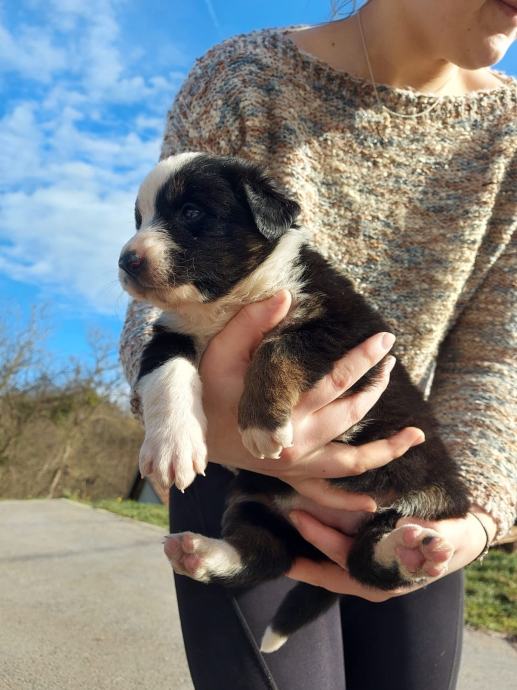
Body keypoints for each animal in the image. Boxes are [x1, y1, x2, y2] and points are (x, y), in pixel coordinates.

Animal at [119, 152, 470, 652]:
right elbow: (167, 377)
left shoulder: (345, 328)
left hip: (424, 495)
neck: (226, 302)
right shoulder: (168, 337)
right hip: (256, 500)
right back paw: (198, 554)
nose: (127, 260)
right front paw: (172, 449)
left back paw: (410, 554)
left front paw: (261, 422)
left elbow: (280, 345)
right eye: (139, 219)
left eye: (190, 212)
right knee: (268, 553)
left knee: (369, 564)